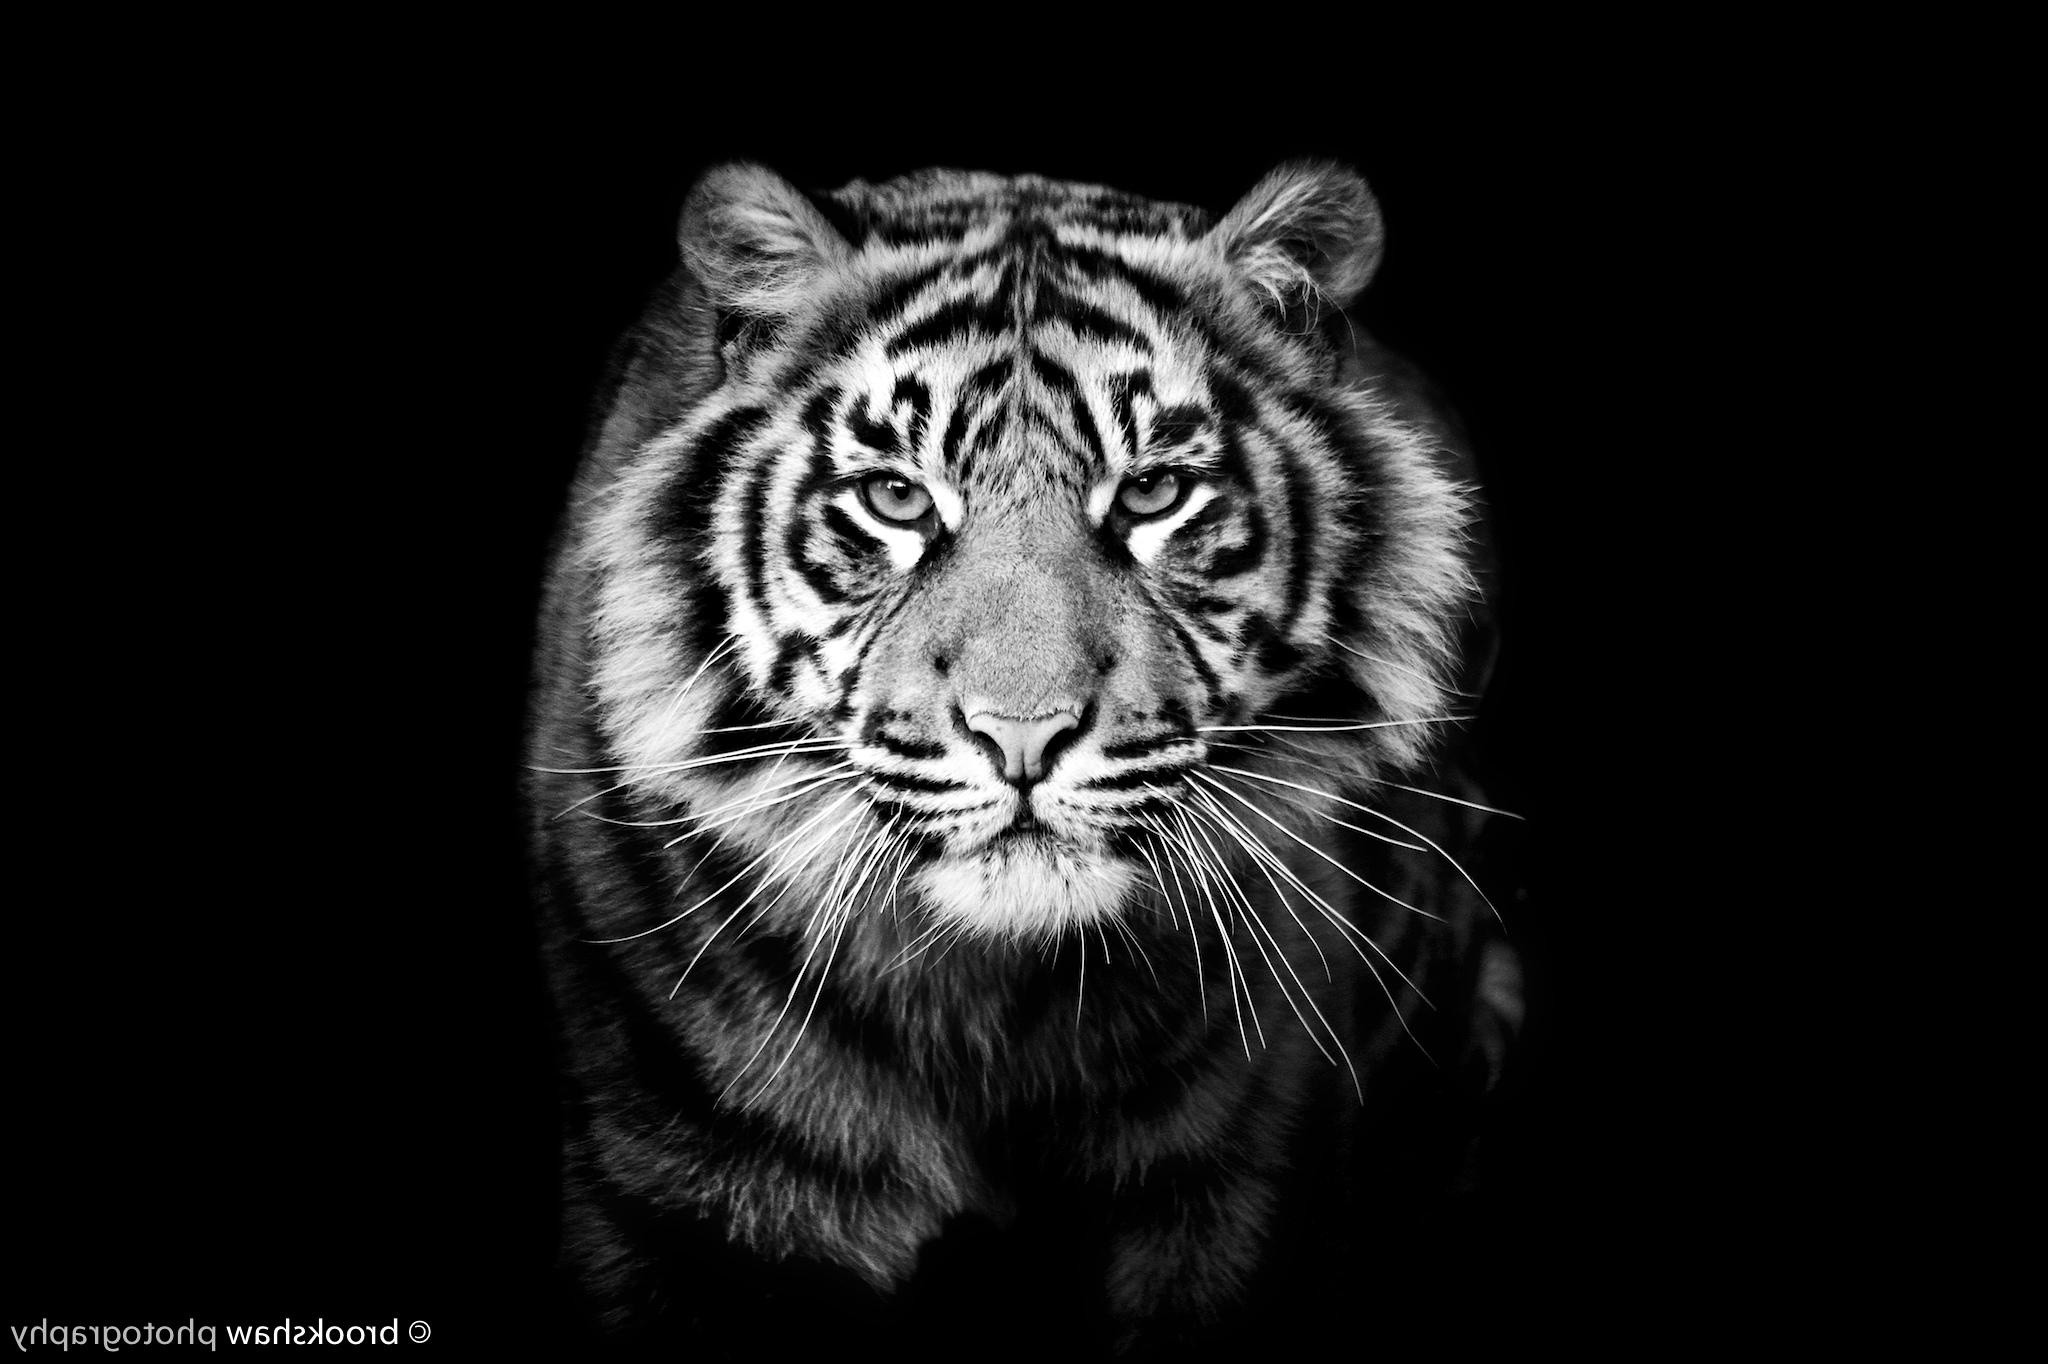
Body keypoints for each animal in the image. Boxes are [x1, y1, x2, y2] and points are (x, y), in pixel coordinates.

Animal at [524, 160, 1523, 1358]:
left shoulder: (1238, 1195)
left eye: (1151, 493)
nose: (1023, 733)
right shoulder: (674, 1192)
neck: (992, 1002)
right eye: (897, 497)